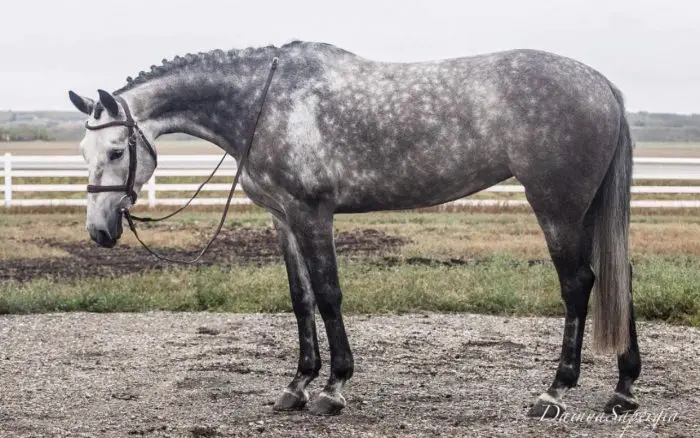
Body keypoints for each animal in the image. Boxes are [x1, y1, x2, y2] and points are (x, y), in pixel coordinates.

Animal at [69, 41, 640, 418]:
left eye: (116, 151)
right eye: (83, 150)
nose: (99, 231)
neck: (265, 103)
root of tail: (603, 84)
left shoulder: (312, 214)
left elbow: (328, 295)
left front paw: (333, 387)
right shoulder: (283, 218)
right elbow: (300, 299)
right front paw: (298, 384)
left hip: (557, 209)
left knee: (579, 286)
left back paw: (554, 392)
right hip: (587, 211)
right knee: (621, 278)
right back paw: (623, 390)